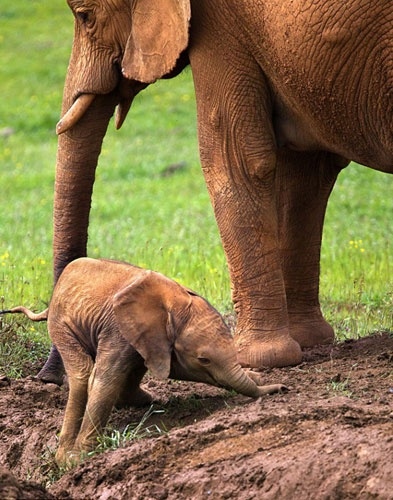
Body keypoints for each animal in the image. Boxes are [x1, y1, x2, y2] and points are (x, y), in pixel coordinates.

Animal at [2, 260, 284, 466]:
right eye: (203, 359)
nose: (282, 388)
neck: (173, 302)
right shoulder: (117, 329)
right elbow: (105, 380)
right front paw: (82, 458)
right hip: (61, 326)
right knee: (83, 374)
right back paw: (66, 459)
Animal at [38, 0, 390, 384]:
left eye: (85, 17)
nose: (49, 376)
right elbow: (306, 170)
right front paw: (309, 342)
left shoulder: (220, 24)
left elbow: (230, 159)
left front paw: (255, 358)